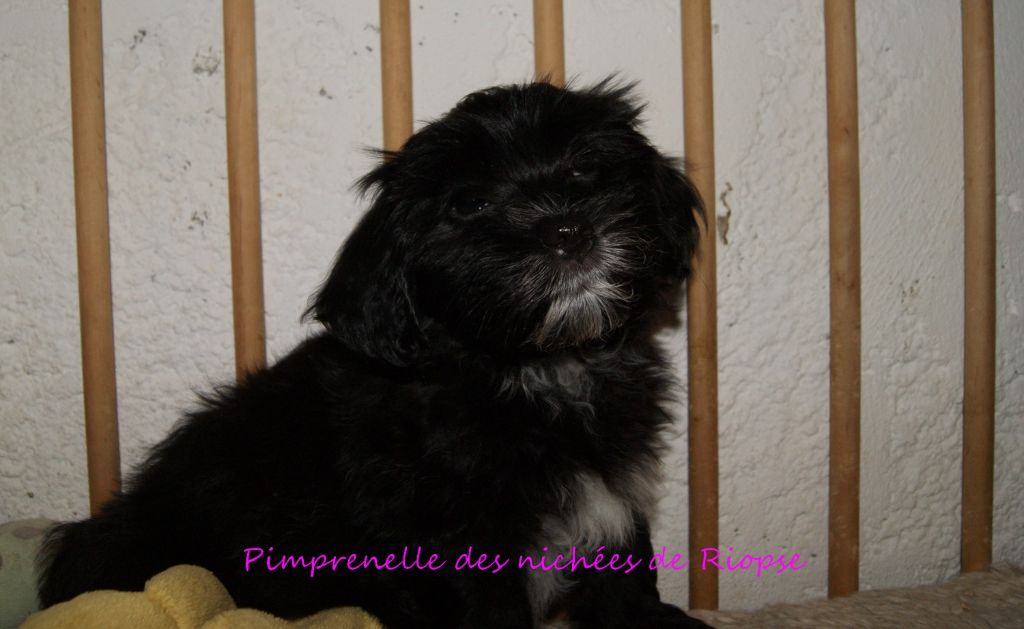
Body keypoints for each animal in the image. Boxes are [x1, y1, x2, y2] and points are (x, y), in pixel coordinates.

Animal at [38, 80, 708, 628]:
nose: (567, 230)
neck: (540, 366)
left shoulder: (615, 494)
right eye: (468, 204)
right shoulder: (456, 537)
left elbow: (625, 575)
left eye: (586, 170)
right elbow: (491, 609)